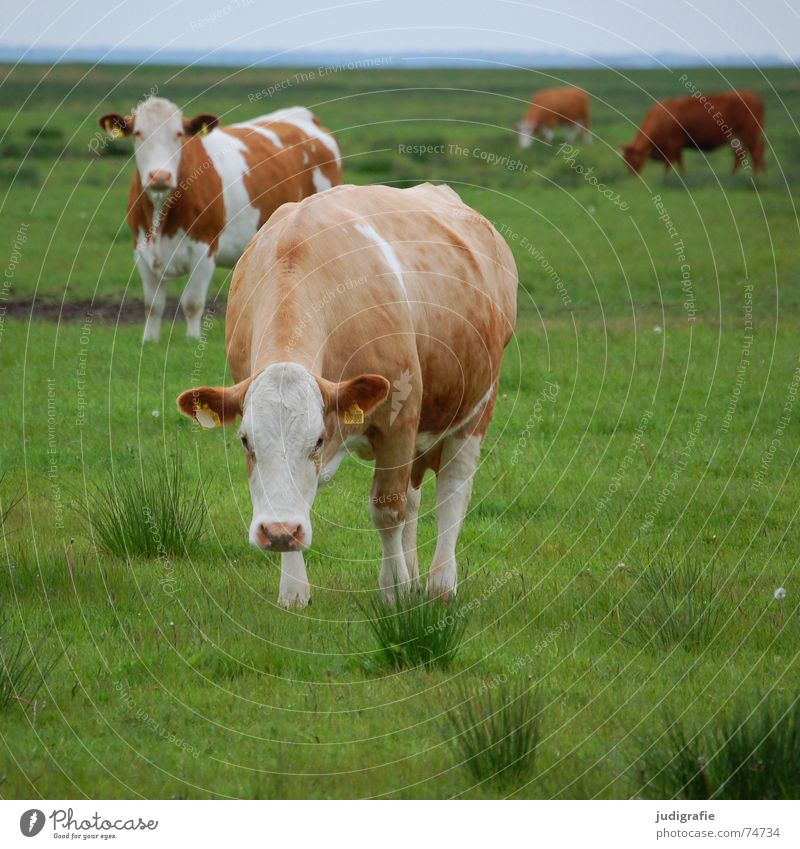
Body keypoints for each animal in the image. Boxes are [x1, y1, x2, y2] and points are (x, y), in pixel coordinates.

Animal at [99, 97, 340, 342]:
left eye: (179, 134)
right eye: (138, 133)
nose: (160, 176)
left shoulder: (204, 249)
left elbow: (192, 302)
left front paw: (192, 340)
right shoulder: (141, 250)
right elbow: (152, 305)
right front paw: (150, 341)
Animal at [175, 182, 520, 608]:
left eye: (318, 439)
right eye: (244, 440)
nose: (277, 531)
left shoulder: (398, 420)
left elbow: (388, 510)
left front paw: (394, 591)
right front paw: (294, 592)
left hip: (475, 410)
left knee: (451, 493)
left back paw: (441, 584)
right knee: (416, 496)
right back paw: (416, 574)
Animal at [620, 89, 764, 174]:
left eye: (634, 159)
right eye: (625, 160)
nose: (632, 174)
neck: (659, 118)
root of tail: (755, 97)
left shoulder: (672, 145)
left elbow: (669, 164)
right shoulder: (677, 148)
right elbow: (680, 162)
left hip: (749, 135)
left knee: (756, 153)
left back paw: (756, 176)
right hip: (736, 138)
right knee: (739, 156)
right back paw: (733, 175)